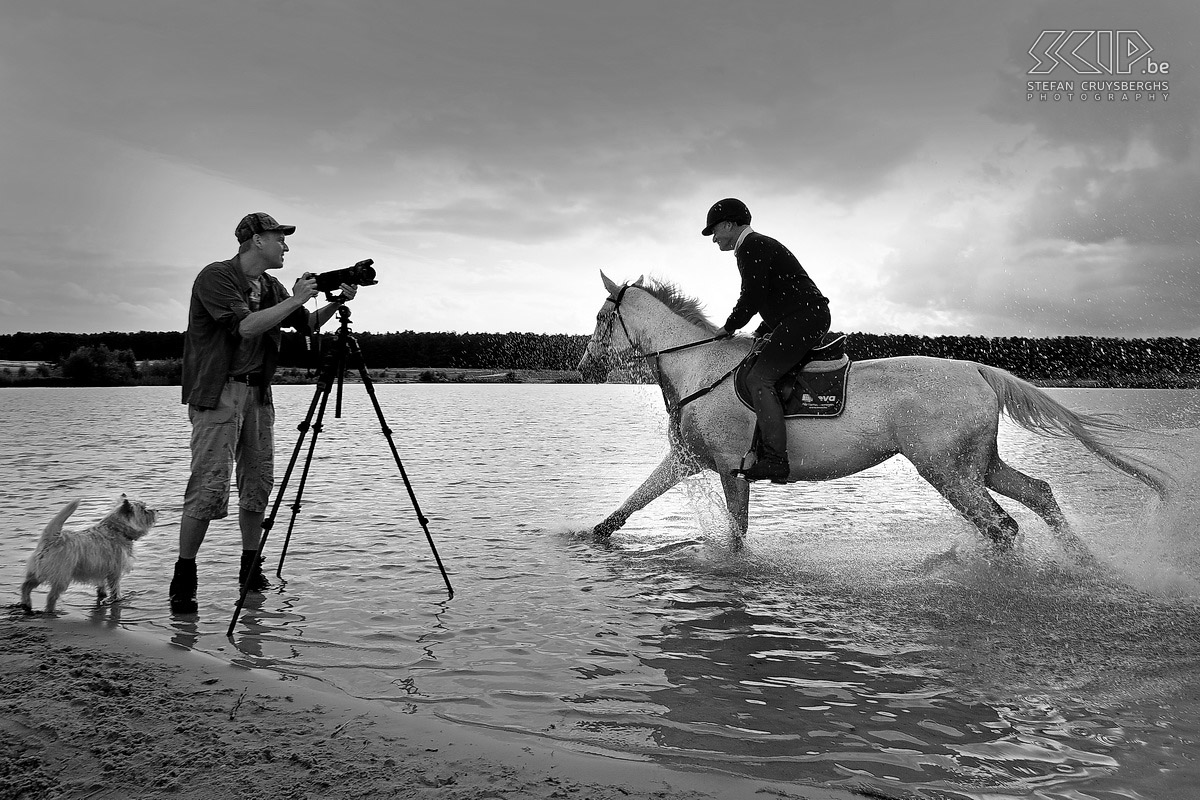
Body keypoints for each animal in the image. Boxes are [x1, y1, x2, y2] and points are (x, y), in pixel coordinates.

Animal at [19, 494, 158, 614]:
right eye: (144, 509)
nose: (156, 510)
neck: (116, 529)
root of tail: (51, 539)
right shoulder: (115, 572)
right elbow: (115, 587)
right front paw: (118, 598)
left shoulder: (100, 570)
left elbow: (101, 586)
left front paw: (103, 595)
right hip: (61, 577)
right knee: (51, 596)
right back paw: (51, 611)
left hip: (38, 573)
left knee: (25, 586)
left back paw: (27, 604)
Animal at [578, 272, 1171, 546]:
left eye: (603, 317)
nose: (583, 365)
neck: (698, 369)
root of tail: (976, 369)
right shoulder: (687, 461)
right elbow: (627, 506)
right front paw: (587, 537)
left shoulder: (729, 469)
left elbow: (737, 538)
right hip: (978, 464)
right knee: (1039, 495)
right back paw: (1085, 565)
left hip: (947, 469)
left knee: (1002, 526)